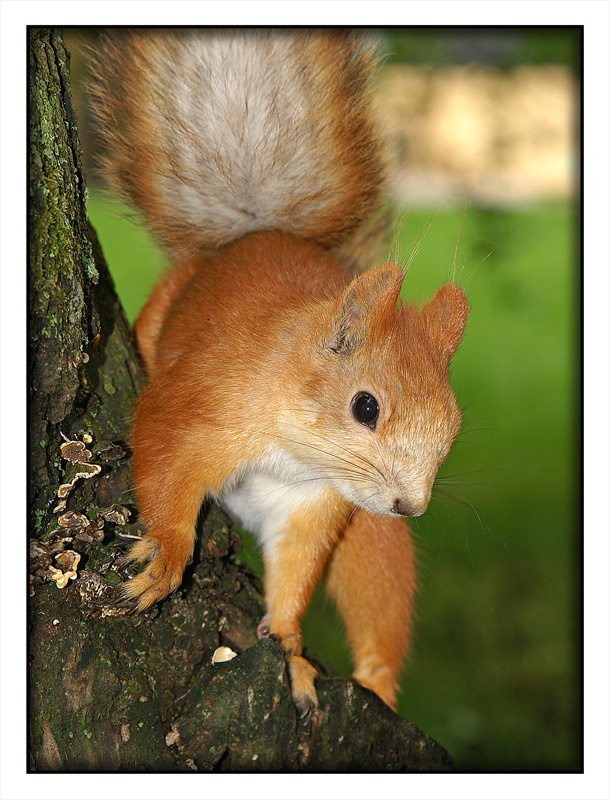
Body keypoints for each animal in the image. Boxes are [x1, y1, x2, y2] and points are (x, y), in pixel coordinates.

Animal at [87, 28, 469, 715]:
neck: (298, 447)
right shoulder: (201, 403)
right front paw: (170, 558)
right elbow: (162, 462)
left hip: (371, 535)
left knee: (379, 587)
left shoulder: (317, 504)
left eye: (454, 427)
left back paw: (376, 682)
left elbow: (296, 566)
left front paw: (290, 644)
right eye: (365, 406)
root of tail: (254, 236)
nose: (408, 506)